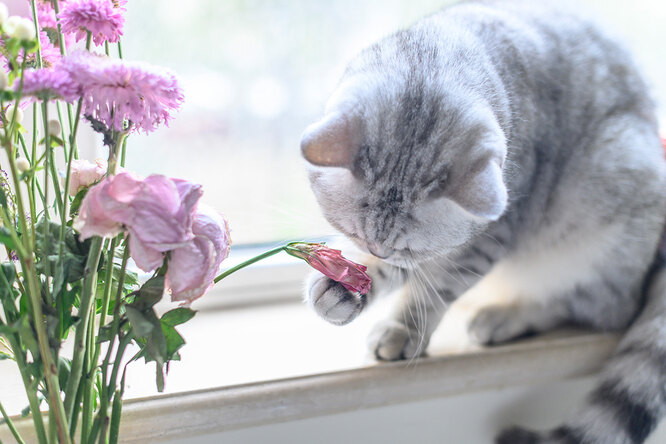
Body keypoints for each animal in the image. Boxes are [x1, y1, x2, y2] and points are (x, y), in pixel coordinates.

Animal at [300, 0, 664, 444]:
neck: (435, 56)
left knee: (598, 306)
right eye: (355, 234)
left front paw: (403, 329)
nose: (380, 253)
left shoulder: (489, 235)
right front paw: (341, 286)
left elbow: (431, 291)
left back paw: (502, 318)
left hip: (605, 203)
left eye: (410, 247)